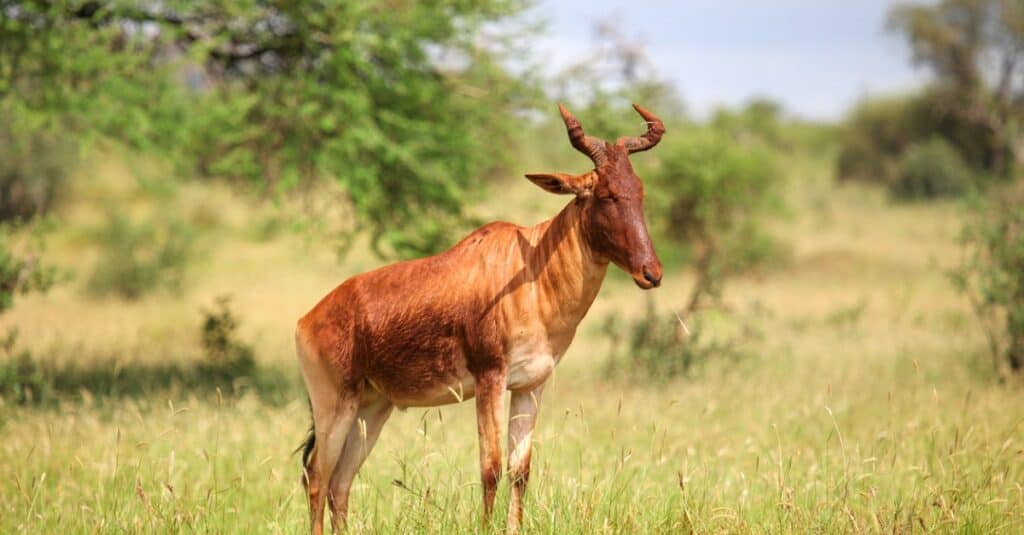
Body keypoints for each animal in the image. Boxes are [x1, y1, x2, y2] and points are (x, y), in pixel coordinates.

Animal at [296, 101, 663, 528]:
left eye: (639, 190)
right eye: (605, 194)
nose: (651, 273)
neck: (530, 269)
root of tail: (309, 318)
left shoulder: (530, 386)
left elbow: (520, 471)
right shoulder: (490, 378)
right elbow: (491, 468)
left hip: (372, 407)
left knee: (340, 482)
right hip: (334, 404)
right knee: (317, 477)